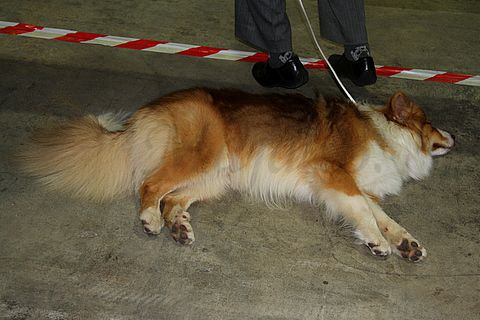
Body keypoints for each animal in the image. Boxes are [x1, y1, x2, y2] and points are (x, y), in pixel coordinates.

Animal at [17, 88, 454, 262]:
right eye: (431, 124)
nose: (456, 136)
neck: (384, 132)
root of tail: (146, 114)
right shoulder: (334, 174)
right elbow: (365, 214)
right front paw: (379, 242)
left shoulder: (360, 186)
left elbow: (384, 217)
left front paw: (405, 243)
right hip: (202, 156)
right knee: (150, 185)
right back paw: (150, 220)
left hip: (216, 176)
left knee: (173, 197)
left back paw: (179, 227)